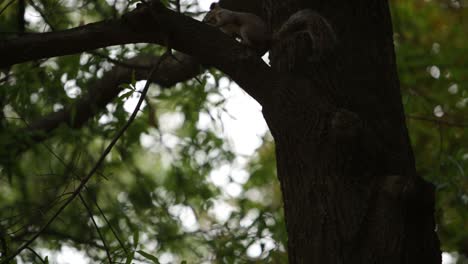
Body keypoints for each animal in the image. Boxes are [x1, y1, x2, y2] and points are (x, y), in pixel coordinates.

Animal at [203, 2, 334, 56]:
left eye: (207, 13)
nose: (203, 21)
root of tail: (268, 39)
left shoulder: (226, 15)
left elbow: (225, 21)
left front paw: (213, 26)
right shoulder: (229, 31)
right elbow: (231, 35)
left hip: (247, 30)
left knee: (255, 44)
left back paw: (246, 43)